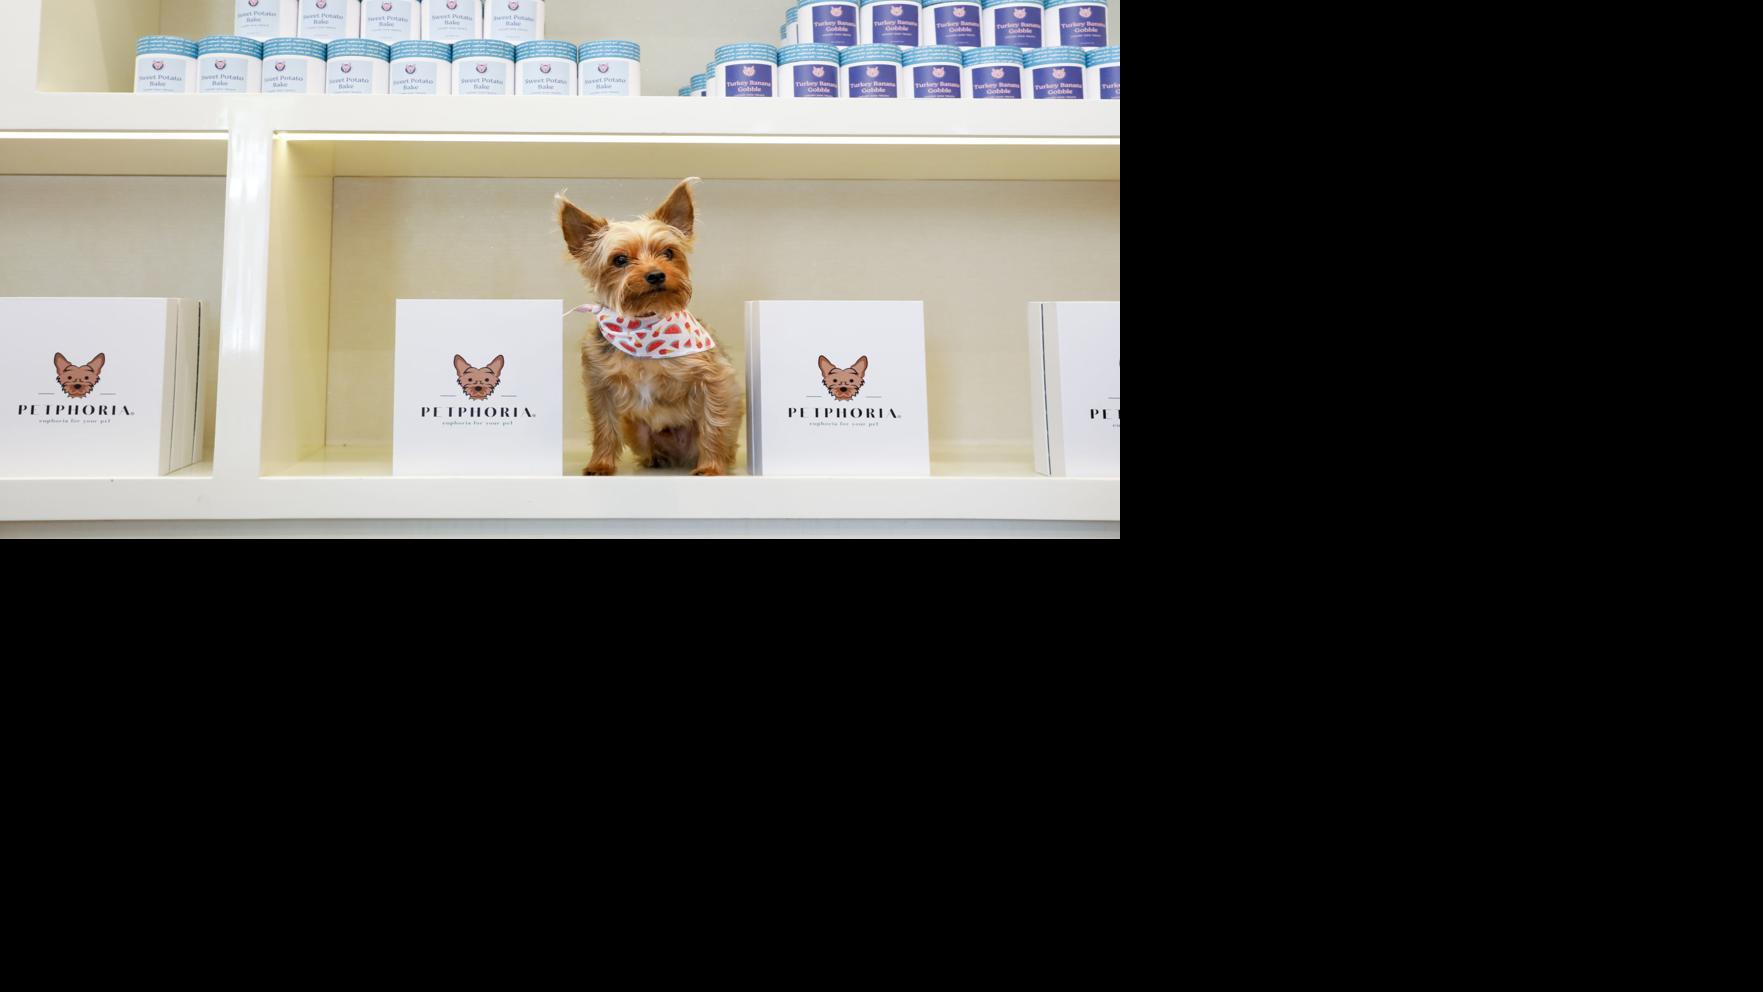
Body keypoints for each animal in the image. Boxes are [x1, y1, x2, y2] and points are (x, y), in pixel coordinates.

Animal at [558, 178, 743, 476]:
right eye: (619, 260)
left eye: (668, 252)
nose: (656, 275)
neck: (642, 323)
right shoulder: (599, 385)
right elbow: (604, 427)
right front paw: (599, 465)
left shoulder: (715, 378)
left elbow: (713, 424)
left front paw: (711, 468)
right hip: (637, 432)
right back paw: (655, 460)